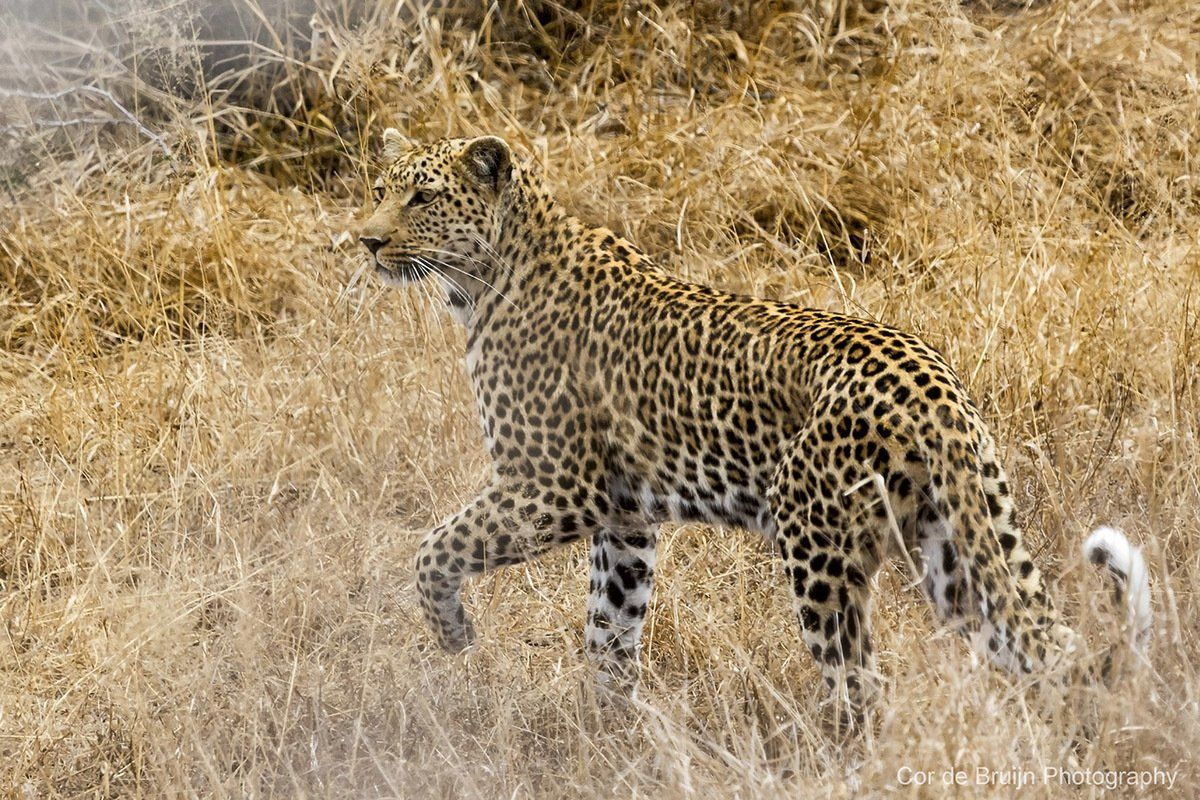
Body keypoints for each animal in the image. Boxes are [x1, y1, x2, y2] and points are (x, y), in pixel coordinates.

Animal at [358, 131, 1152, 722]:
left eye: (422, 196)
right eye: (379, 190)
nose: (365, 241)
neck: (483, 283)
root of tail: (931, 381)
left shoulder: (550, 485)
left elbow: (434, 548)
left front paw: (455, 635)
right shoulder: (625, 519)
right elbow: (609, 630)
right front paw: (607, 729)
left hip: (817, 546)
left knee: (861, 683)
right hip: (953, 548)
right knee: (1041, 648)